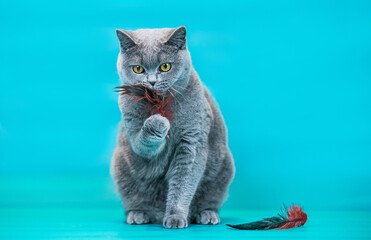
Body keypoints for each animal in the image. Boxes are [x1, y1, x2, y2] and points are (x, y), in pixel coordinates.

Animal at [110, 26, 237, 229]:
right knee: (133, 202)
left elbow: (183, 183)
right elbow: (142, 144)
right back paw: (138, 215)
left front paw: (175, 217)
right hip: (120, 166)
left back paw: (207, 215)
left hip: (223, 169)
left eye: (165, 67)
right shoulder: (132, 126)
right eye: (138, 69)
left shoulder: (192, 141)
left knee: (210, 200)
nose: (152, 81)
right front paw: (158, 123)